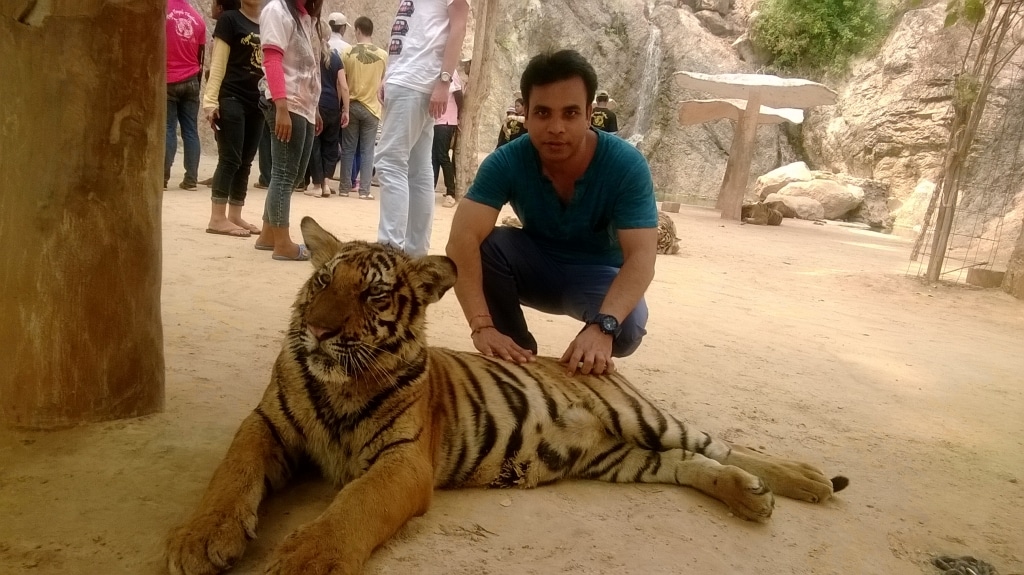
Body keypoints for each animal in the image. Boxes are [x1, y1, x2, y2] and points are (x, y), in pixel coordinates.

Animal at [163, 215, 843, 572]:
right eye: (324, 281)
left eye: (374, 294)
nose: (319, 330)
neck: (340, 382)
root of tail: (588, 360)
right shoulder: (265, 424)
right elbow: (230, 472)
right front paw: (197, 539)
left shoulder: (402, 461)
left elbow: (354, 508)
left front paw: (305, 559)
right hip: (623, 458)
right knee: (686, 463)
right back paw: (751, 497)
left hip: (642, 417)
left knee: (719, 444)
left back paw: (802, 479)